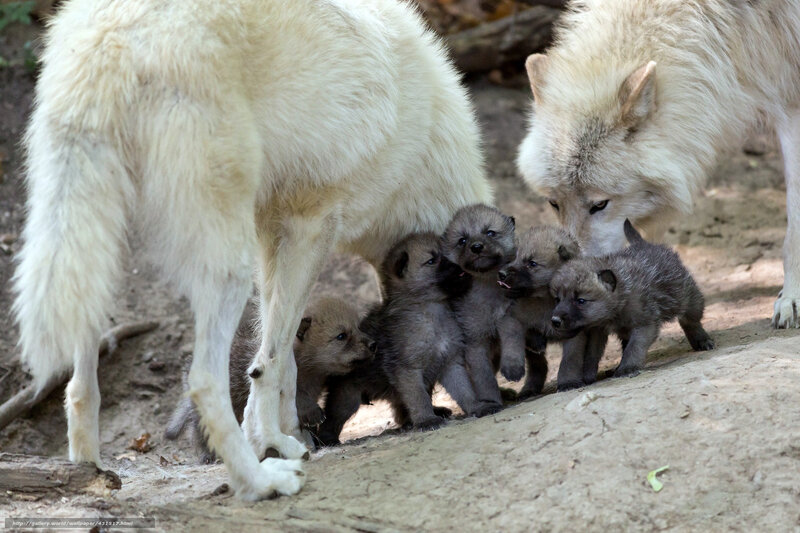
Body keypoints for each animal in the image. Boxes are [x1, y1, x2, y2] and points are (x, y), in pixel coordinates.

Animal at [165, 297, 375, 463]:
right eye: (341, 336)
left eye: (358, 327)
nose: (373, 343)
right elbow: (298, 400)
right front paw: (314, 417)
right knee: (199, 431)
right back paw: (209, 456)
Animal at [516, 0, 800, 329]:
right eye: (554, 204)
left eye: (600, 205)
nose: (568, 279)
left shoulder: (790, 96)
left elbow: (794, 227)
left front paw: (791, 298)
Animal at [549, 220, 714, 387]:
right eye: (557, 299)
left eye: (581, 301)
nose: (555, 321)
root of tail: (644, 243)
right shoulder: (598, 331)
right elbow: (592, 354)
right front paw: (587, 375)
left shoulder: (645, 324)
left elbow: (634, 348)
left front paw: (627, 368)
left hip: (689, 298)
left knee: (690, 321)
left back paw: (702, 340)